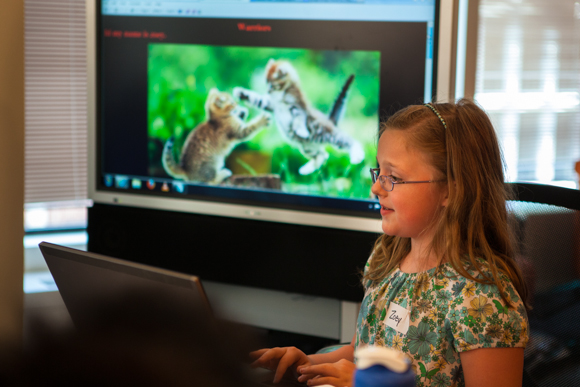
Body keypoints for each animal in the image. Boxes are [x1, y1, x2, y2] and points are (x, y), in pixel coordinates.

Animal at [232, 58, 362, 176]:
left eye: (272, 85)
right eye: (266, 83)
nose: (268, 91)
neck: (282, 93)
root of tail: (329, 120)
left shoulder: (297, 106)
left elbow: (299, 118)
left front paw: (301, 130)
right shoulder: (270, 104)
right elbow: (258, 100)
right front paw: (241, 93)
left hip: (326, 134)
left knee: (348, 140)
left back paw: (357, 156)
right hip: (307, 147)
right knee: (323, 155)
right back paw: (306, 169)